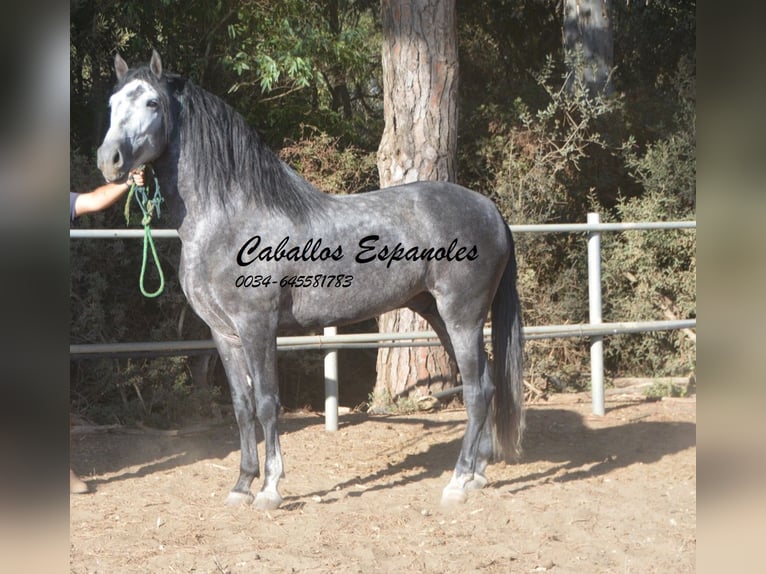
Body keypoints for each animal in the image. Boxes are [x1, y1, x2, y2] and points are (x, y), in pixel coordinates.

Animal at [96, 49, 524, 508]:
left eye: (152, 103)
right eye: (112, 103)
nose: (109, 160)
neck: (231, 218)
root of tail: (490, 210)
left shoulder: (257, 326)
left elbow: (267, 403)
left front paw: (269, 489)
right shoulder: (223, 333)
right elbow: (241, 406)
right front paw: (241, 486)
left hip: (462, 316)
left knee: (477, 391)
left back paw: (458, 481)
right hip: (439, 315)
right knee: (483, 384)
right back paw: (477, 474)